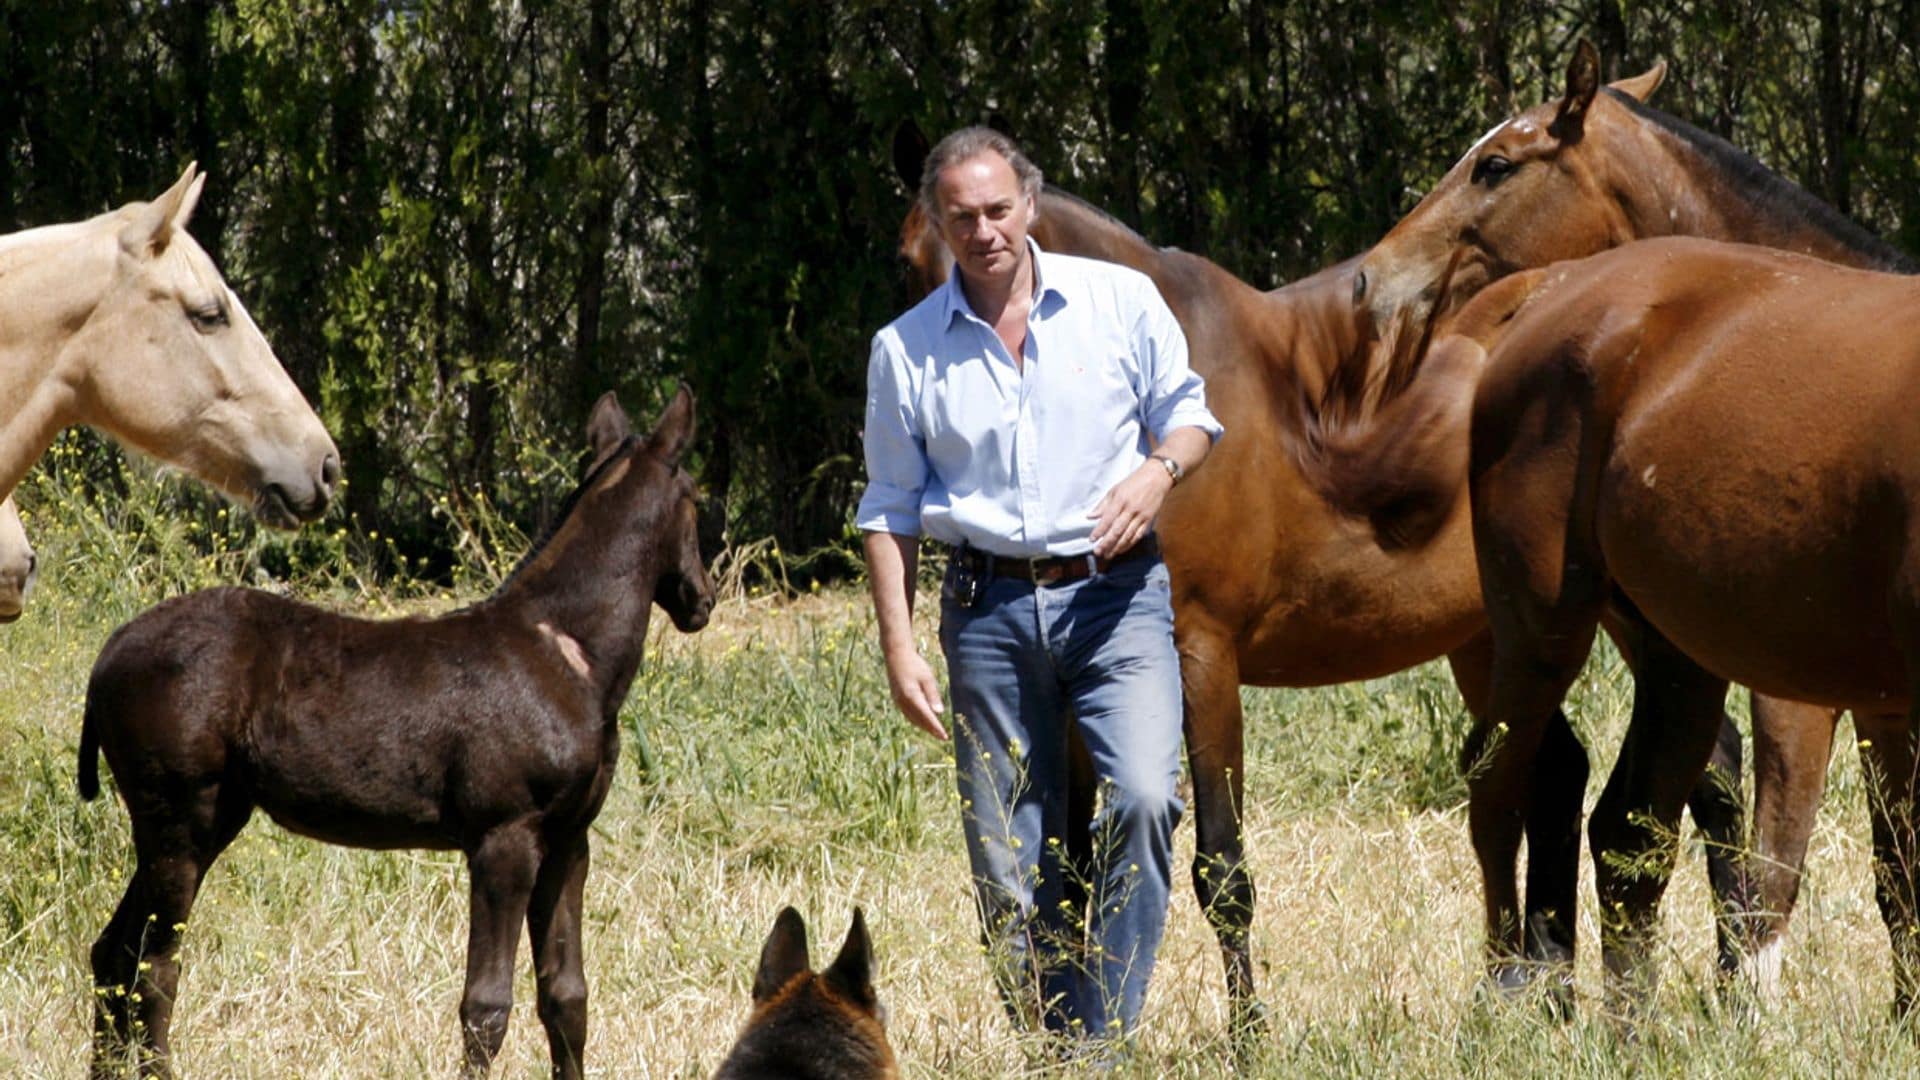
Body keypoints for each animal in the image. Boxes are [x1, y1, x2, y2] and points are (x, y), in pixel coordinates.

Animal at [78, 388, 718, 1076]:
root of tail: (108, 656)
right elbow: (486, 1006)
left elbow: (566, 996)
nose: (701, 600)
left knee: (112, 951)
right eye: (695, 498)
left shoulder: (569, 840)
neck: (571, 655)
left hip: (204, 818)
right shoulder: (504, 836)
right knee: (153, 965)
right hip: (181, 819)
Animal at [1428, 235, 1920, 1006]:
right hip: (1543, 631)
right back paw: (1510, 985)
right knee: (1499, 790)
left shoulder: (1884, 705)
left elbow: (1898, 871)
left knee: (1629, 838)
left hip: (1676, 661)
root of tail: (1558, 284)